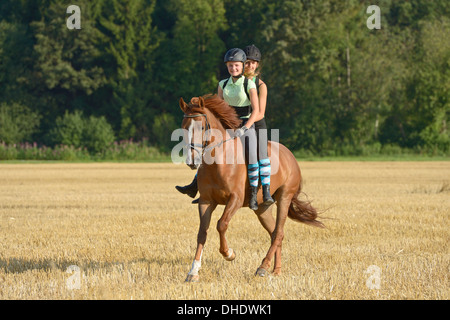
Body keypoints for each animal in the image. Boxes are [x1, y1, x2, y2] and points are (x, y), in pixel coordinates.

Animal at [178, 94, 322, 282]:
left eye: (202, 127)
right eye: (183, 127)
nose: (192, 161)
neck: (219, 162)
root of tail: (290, 155)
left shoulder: (236, 199)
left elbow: (221, 224)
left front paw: (229, 253)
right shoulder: (206, 201)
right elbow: (202, 232)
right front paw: (193, 271)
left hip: (284, 197)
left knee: (279, 232)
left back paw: (263, 267)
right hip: (262, 209)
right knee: (275, 233)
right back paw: (276, 270)